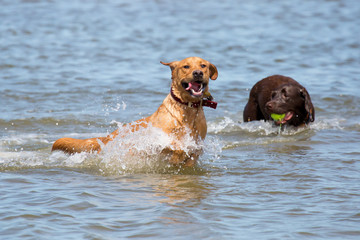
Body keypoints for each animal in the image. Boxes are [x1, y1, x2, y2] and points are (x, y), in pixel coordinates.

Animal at [51, 57, 218, 166]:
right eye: (186, 67)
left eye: (203, 65)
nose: (198, 73)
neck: (187, 110)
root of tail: (106, 138)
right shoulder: (158, 140)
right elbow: (175, 146)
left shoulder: (196, 149)